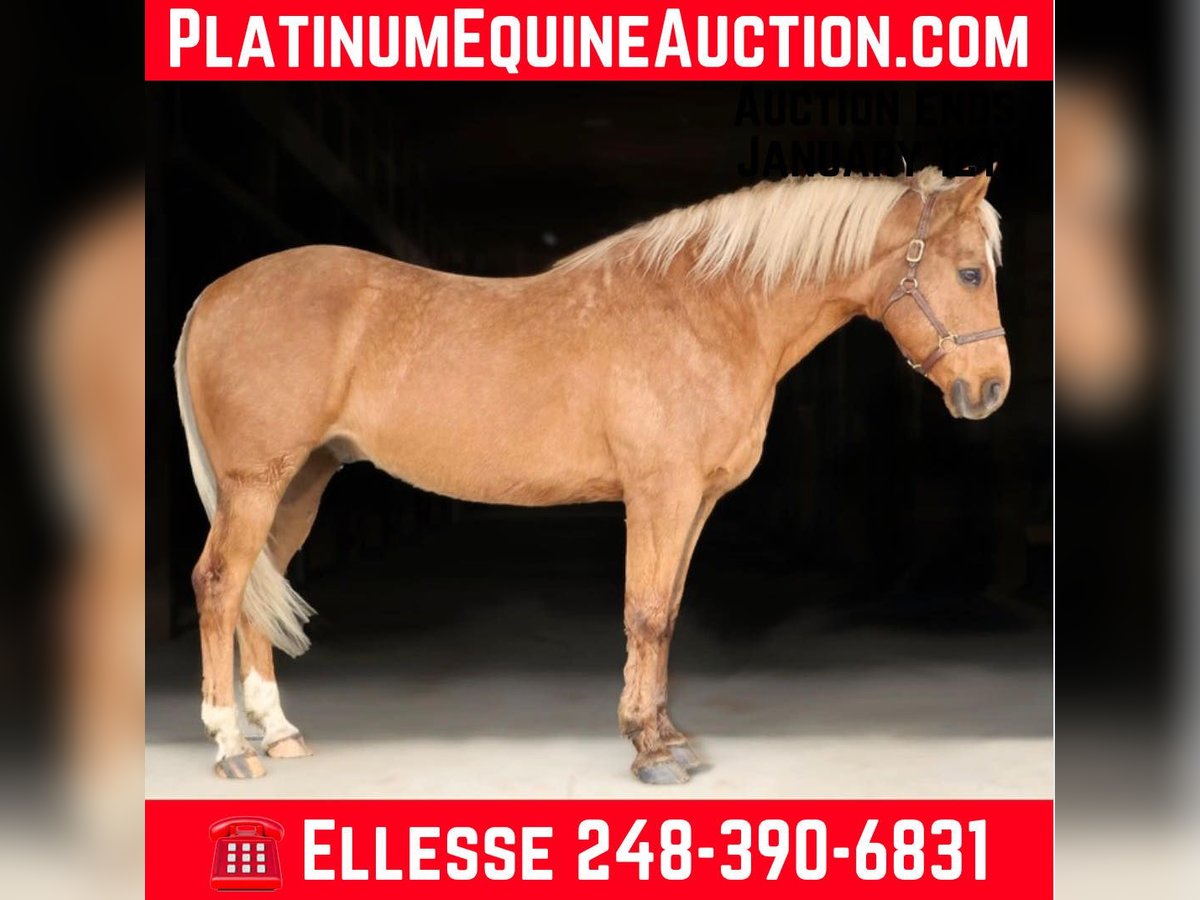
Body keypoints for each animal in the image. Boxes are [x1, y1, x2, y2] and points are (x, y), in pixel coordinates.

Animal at [175, 167, 1009, 784]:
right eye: (969, 272)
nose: (991, 389)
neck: (709, 310)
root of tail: (212, 297)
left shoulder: (696, 501)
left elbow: (667, 612)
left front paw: (669, 737)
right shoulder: (660, 493)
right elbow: (644, 613)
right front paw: (648, 752)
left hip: (300, 483)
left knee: (256, 589)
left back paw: (280, 732)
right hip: (257, 482)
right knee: (219, 585)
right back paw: (231, 747)